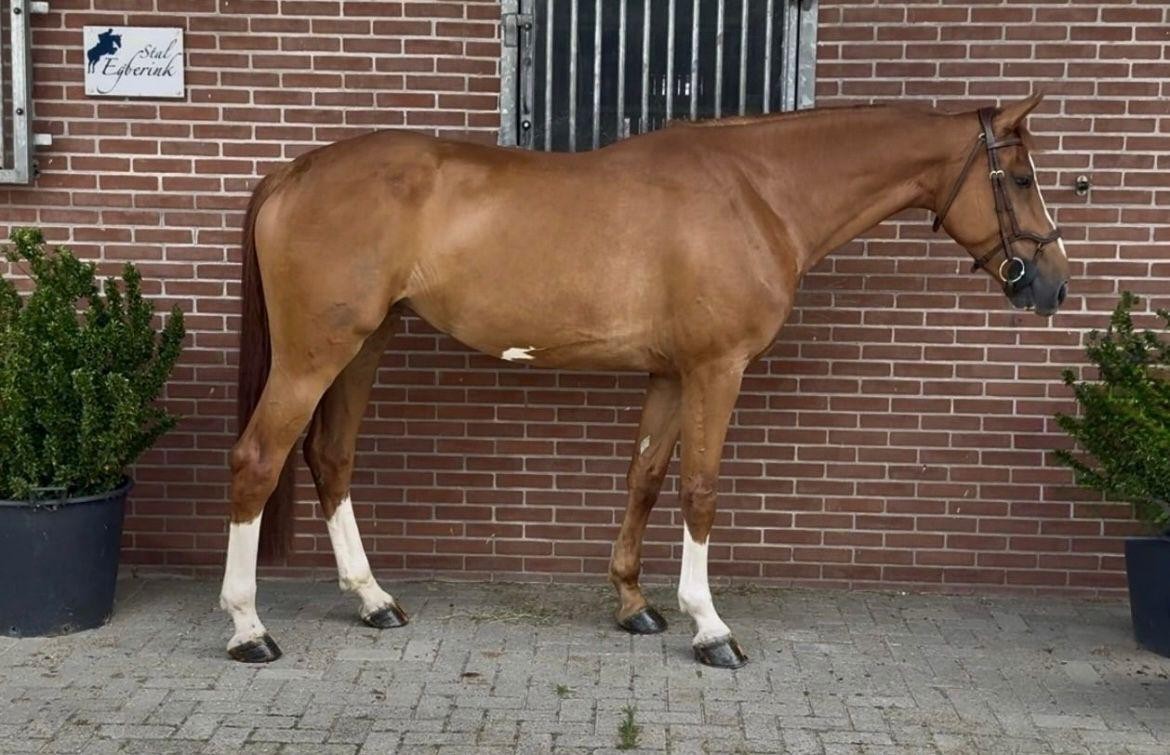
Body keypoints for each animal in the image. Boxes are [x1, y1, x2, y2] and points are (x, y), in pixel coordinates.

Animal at [219, 94, 1070, 668]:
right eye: (1022, 176)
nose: (1053, 286)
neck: (757, 192)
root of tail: (294, 170)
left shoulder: (669, 372)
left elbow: (647, 478)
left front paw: (634, 604)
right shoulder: (716, 368)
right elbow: (700, 488)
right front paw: (710, 626)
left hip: (365, 345)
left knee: (331, 458)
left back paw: (373, 600)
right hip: (315, 355)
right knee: (257, 460)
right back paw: (249, 627)